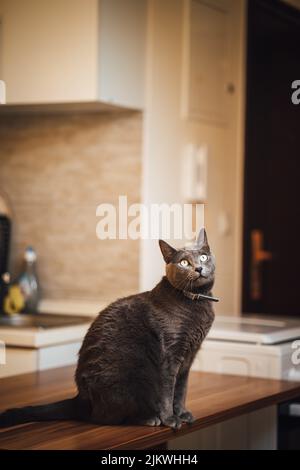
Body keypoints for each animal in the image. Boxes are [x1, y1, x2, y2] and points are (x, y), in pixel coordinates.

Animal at [0, 228, 216, 430]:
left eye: (203, 257)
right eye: (184, 263)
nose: (198, 267)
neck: (196, 302)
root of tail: (81, 399)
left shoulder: (188, 358)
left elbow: (181, 390)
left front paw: (182, 413)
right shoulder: (170, 356)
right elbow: (167, 392)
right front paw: (170, 419)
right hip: (135, 377)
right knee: (107, 417)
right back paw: (149, 418)